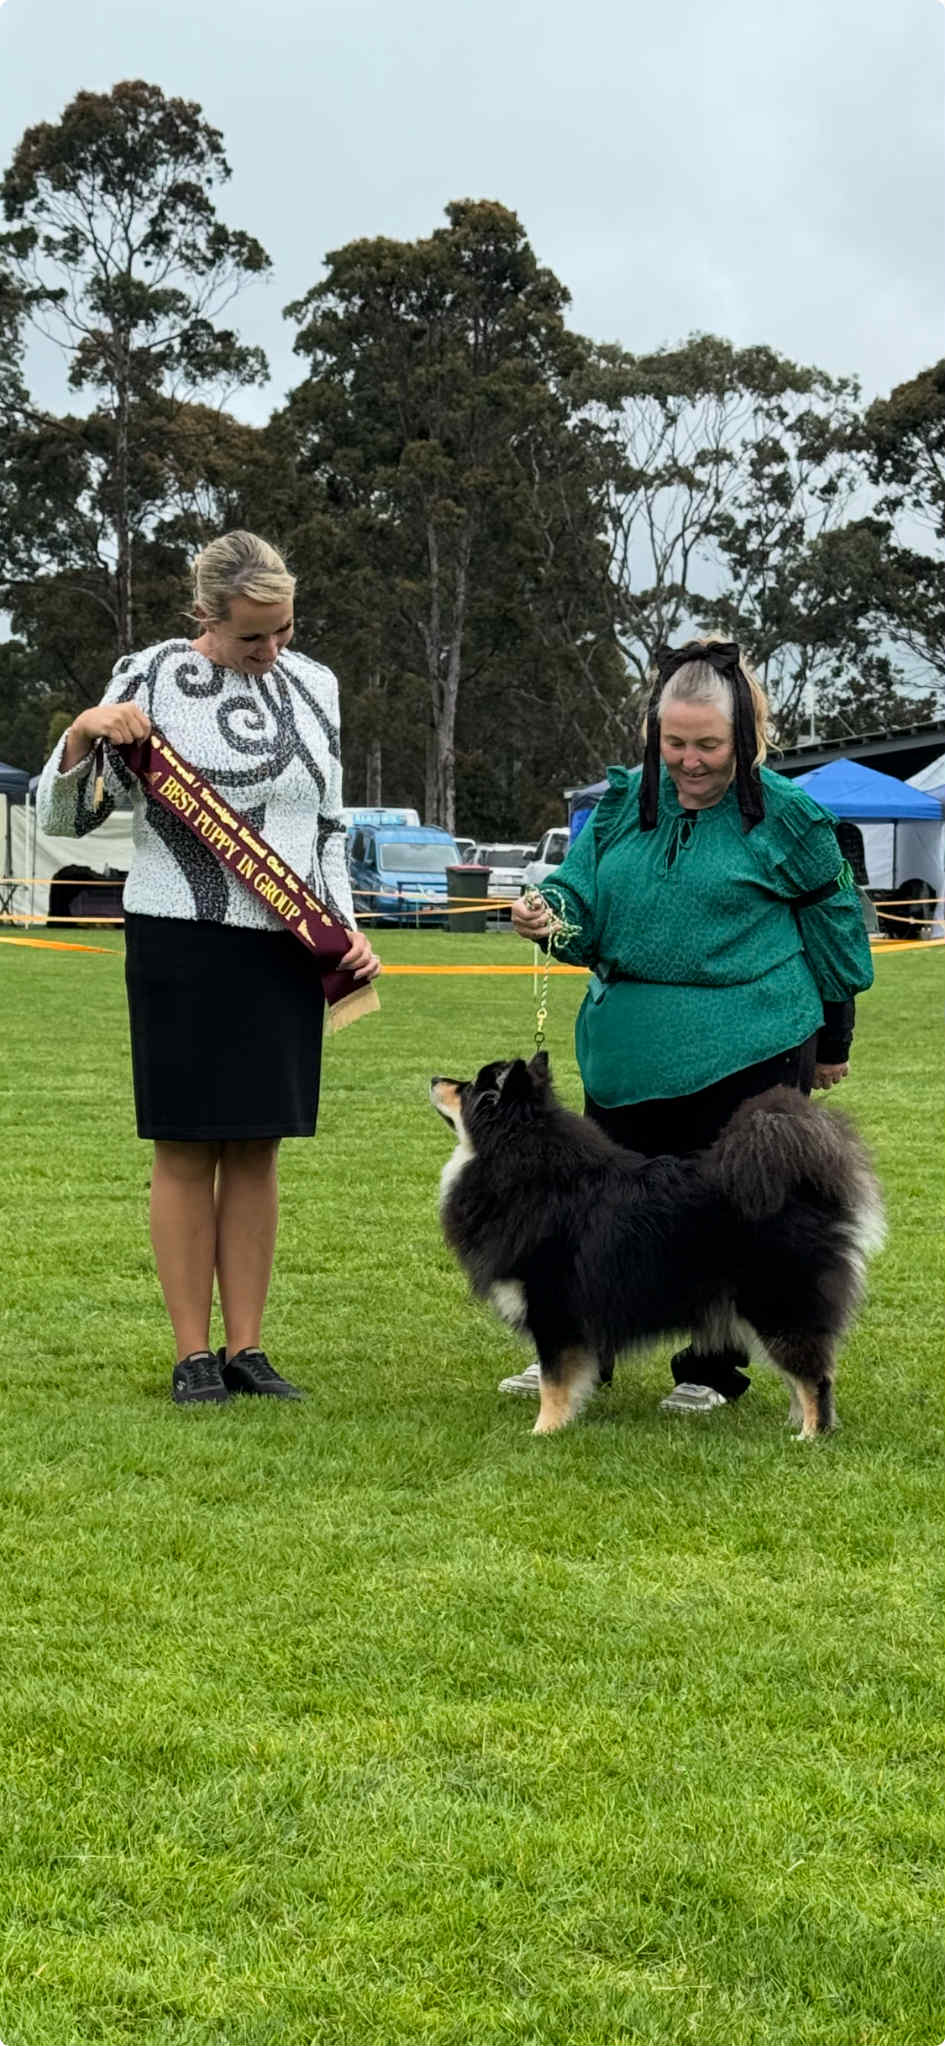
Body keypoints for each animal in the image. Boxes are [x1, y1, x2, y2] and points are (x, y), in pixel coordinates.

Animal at [430, 1053, 884, 1438]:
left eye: (468, 1088)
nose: (435, 1078)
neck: (520, 1164)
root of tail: (807, 1191)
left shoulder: (554, 1309)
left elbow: (554, 1381)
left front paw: (544, 1431)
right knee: (801, 1370)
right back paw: (796, 1423)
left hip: (776, 1306)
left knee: (814, 1375)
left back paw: (811, 1434)